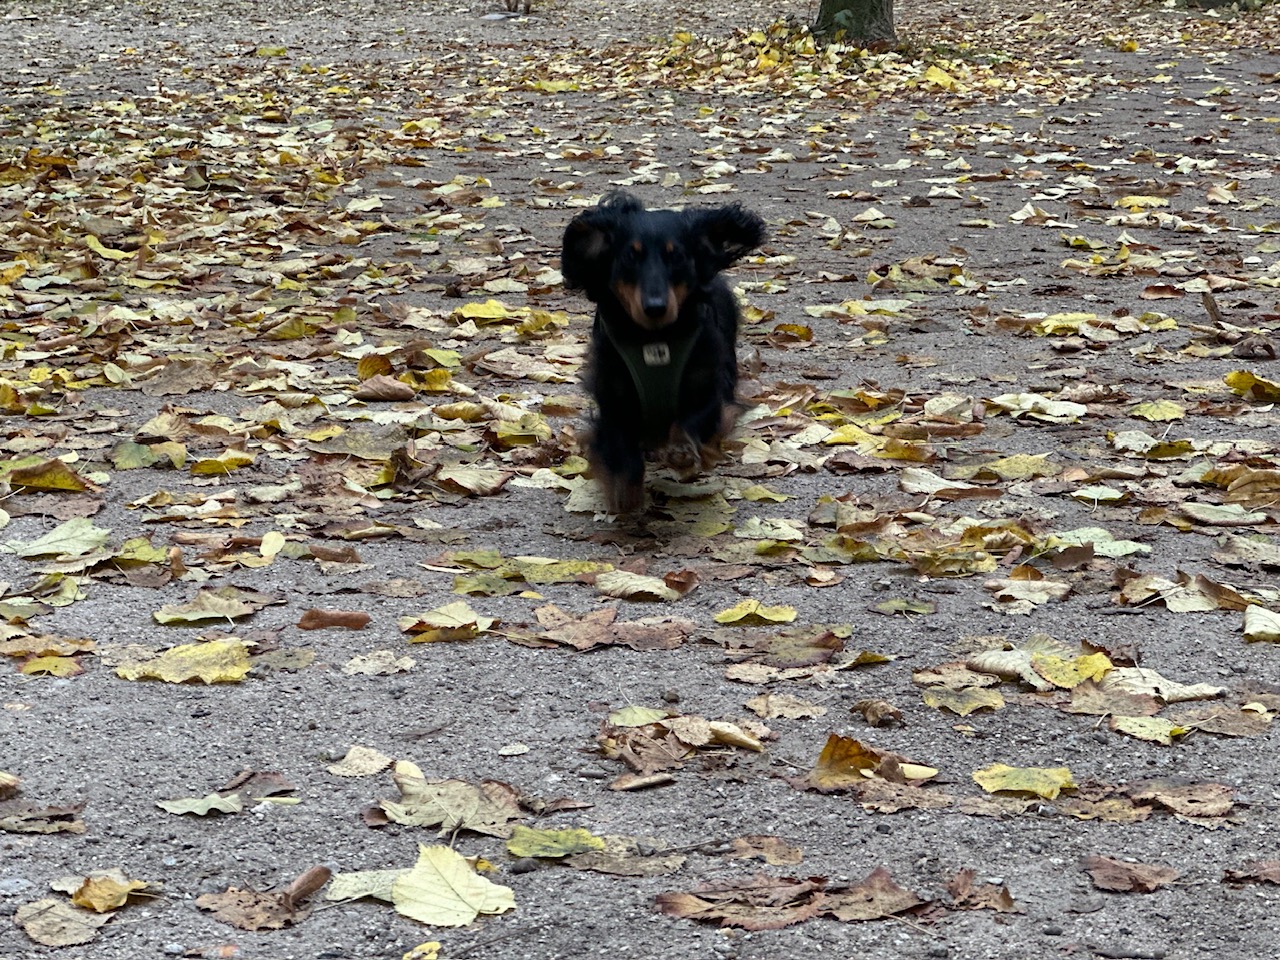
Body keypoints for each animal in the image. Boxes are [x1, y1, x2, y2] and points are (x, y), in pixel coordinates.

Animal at [558, 190, 757, 514]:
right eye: (630, 256)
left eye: (676, 256)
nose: (655, 308)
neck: (653, 338)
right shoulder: (613, 400)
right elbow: (618, 446)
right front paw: (625, 491)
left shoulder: (709, 391)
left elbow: (694, 421)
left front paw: (682, 451)